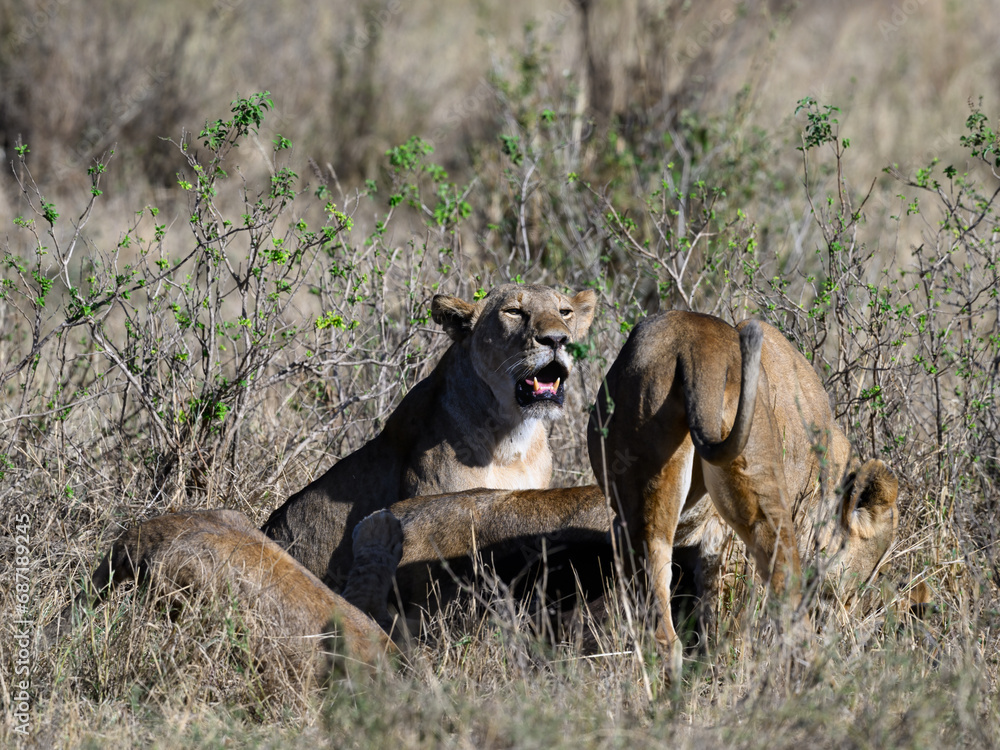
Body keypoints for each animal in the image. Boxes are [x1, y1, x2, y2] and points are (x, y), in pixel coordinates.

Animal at [587, 311, 899, 679]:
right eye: (875, 570)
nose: (854, 618)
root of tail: (692, 344)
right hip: (760, 492)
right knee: (775, 601)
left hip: (642, 494)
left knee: (661, 626)